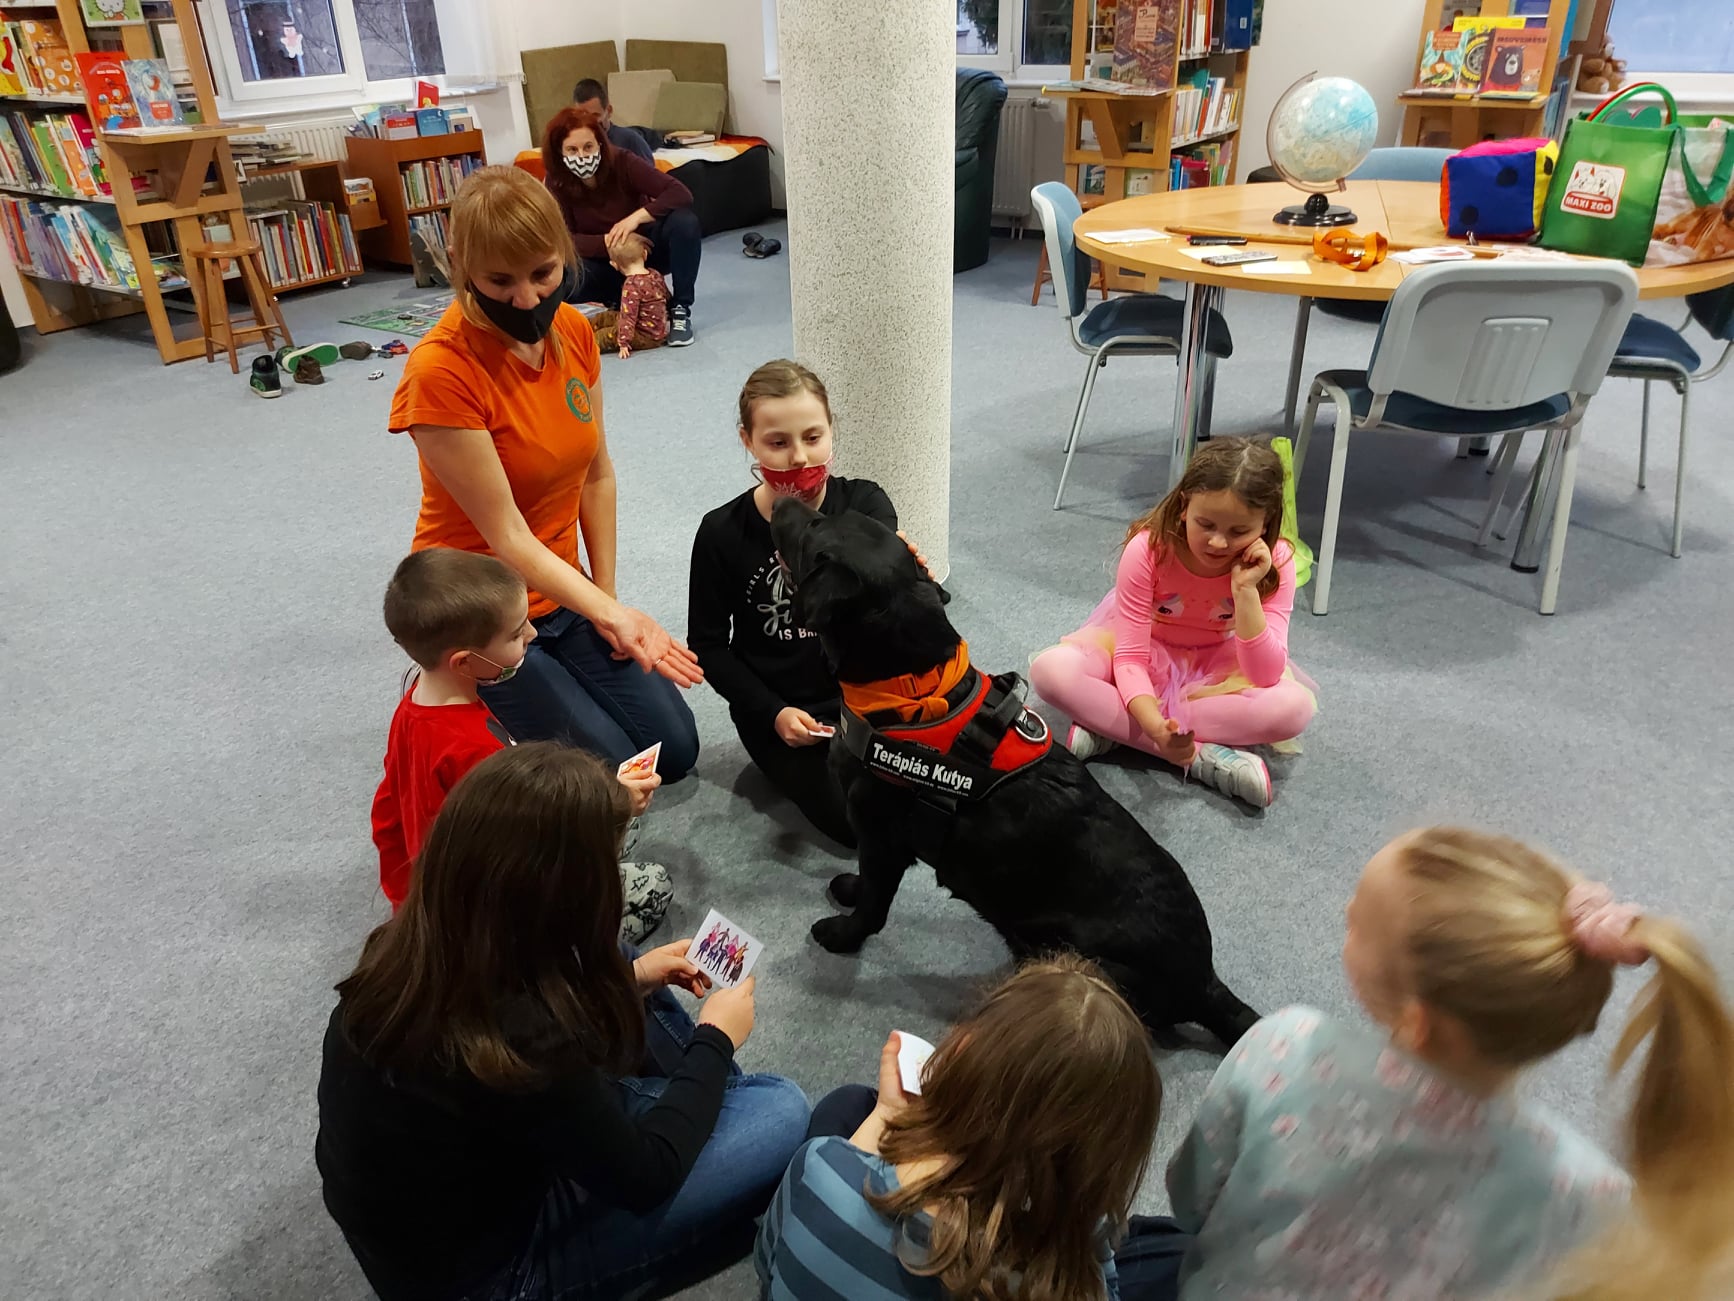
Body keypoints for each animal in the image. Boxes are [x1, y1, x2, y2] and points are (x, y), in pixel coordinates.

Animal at [770, 496, 1259, 1047]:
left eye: (815, 527)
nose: (782, 498)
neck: (911, 693)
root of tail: (1204, 982)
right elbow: (864, 885)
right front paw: (848, 890)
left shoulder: (881, 839)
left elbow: (873, 904)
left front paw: (842, 934)